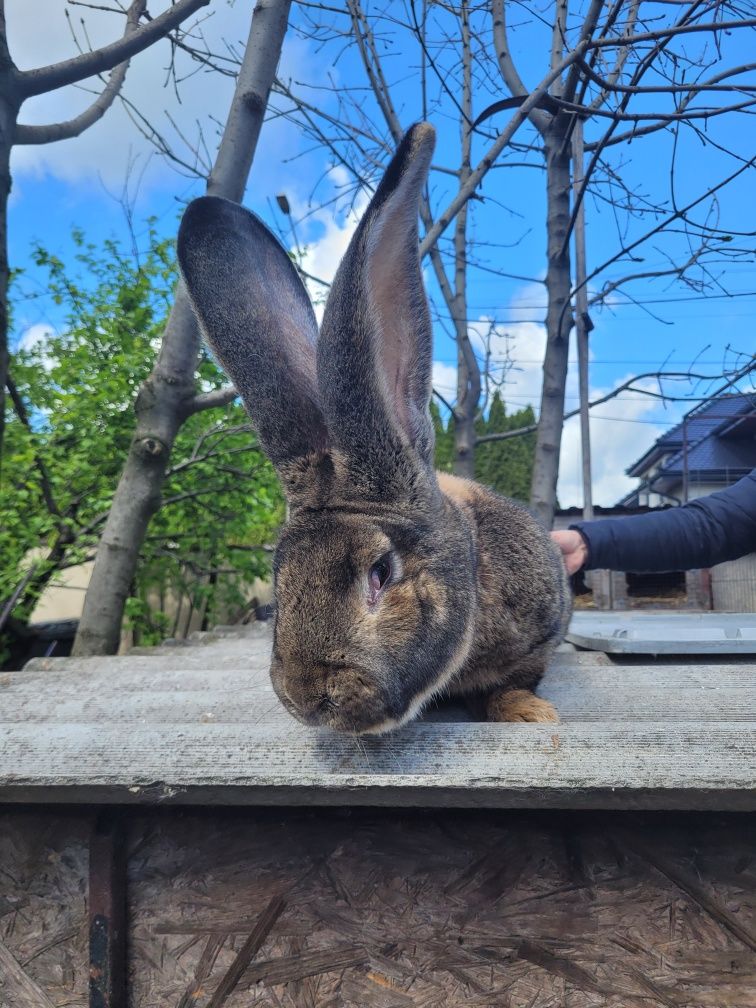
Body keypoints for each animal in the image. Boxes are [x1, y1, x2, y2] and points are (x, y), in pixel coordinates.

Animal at [176, 121, 568, 737]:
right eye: (278, 576)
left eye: (381, 571)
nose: (307, 699)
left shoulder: (540, 636)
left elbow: (518, 680)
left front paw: (529, 713)